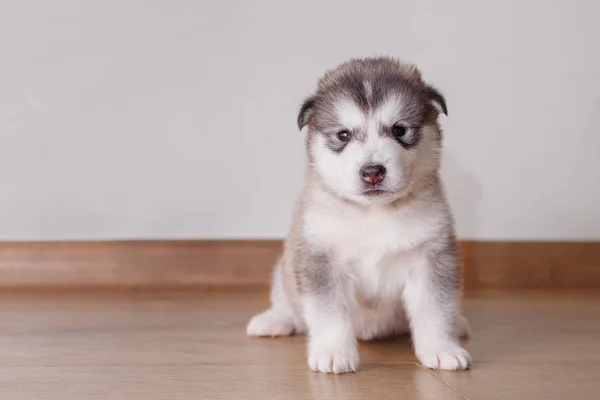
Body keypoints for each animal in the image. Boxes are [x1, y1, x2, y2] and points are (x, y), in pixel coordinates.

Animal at [246, 57, 472, 376]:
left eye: (399, 130)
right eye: (343, 134)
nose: (373, 172)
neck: (373, 214)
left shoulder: (430, 256)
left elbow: (435, 309)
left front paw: (442, 350)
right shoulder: (321, 258)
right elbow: (329, 313)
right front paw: (333, 353)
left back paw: (459, 324)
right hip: (285, 266)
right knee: (285, 301)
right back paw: (274, 320)